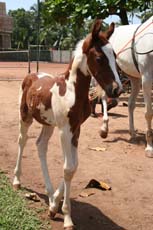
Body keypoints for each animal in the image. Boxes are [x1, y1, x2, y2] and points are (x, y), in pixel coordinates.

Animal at [13, 20, 123, 230]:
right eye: (99, 58)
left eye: (114, 56)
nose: (117, 90)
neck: (72, 91)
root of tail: (32, 75)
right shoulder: (65, 129)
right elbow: (68, 168)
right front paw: (66, 217)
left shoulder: (76, 128)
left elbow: (74, 166)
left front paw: (54, 205)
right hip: (25, 116)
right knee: (22, 141)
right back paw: (16, 180)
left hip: (48, 123)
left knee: (40, 145)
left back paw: (48, 194)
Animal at [109, 15, 153, 156]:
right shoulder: (147, 78)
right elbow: (148, 113)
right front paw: (149, 147)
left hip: (134, 79)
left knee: (130, 104)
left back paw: (132, 132)